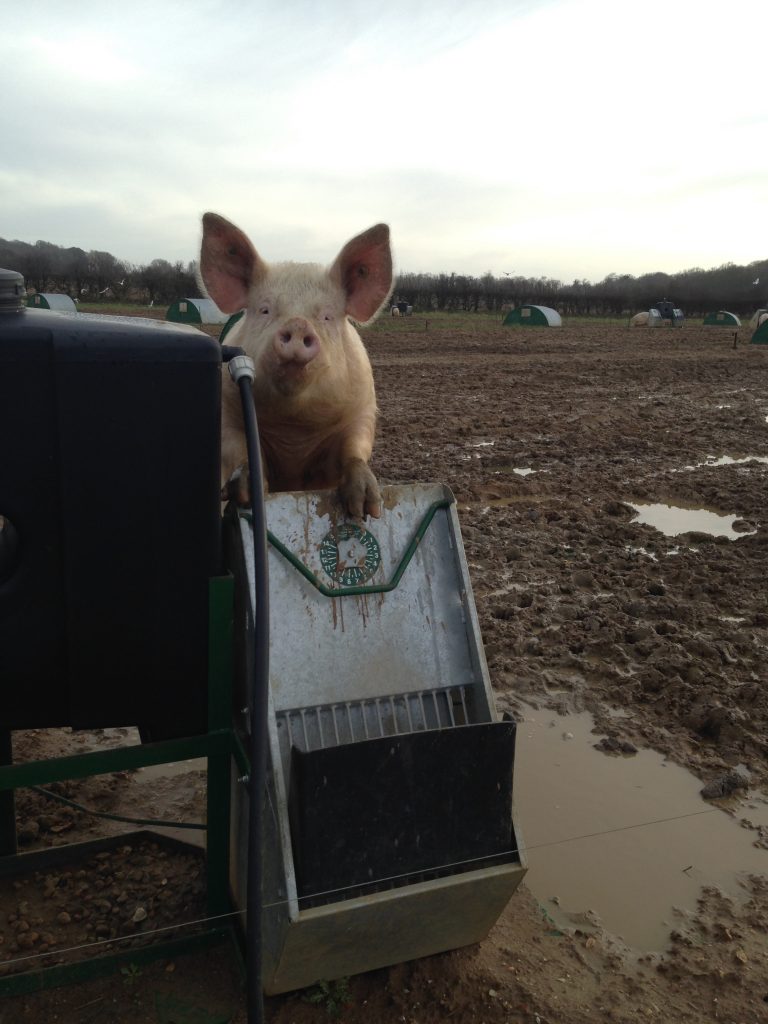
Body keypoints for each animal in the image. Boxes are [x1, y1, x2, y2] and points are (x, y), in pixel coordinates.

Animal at [198, 214, 393, 520]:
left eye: (327, 316)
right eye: (265, 310)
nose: (298, 324)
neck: (295, 428)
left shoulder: (362, 409)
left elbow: (355, 448)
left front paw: (367, 509)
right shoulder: (227, 410)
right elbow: (239, 447)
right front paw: (248, 495)